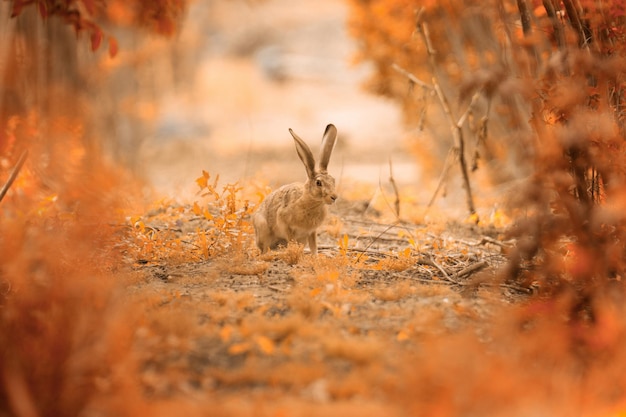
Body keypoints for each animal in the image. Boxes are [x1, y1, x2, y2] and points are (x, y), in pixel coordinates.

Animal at [252, 122, 338, 255]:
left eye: (333, 180)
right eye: (318, 183)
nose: (334, 197)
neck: (311, 202)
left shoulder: (311, 232)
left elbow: (314, 246)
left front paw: (315, 257)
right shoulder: (286, 224)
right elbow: (292, 241)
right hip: (263, 229)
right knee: (264, 249)